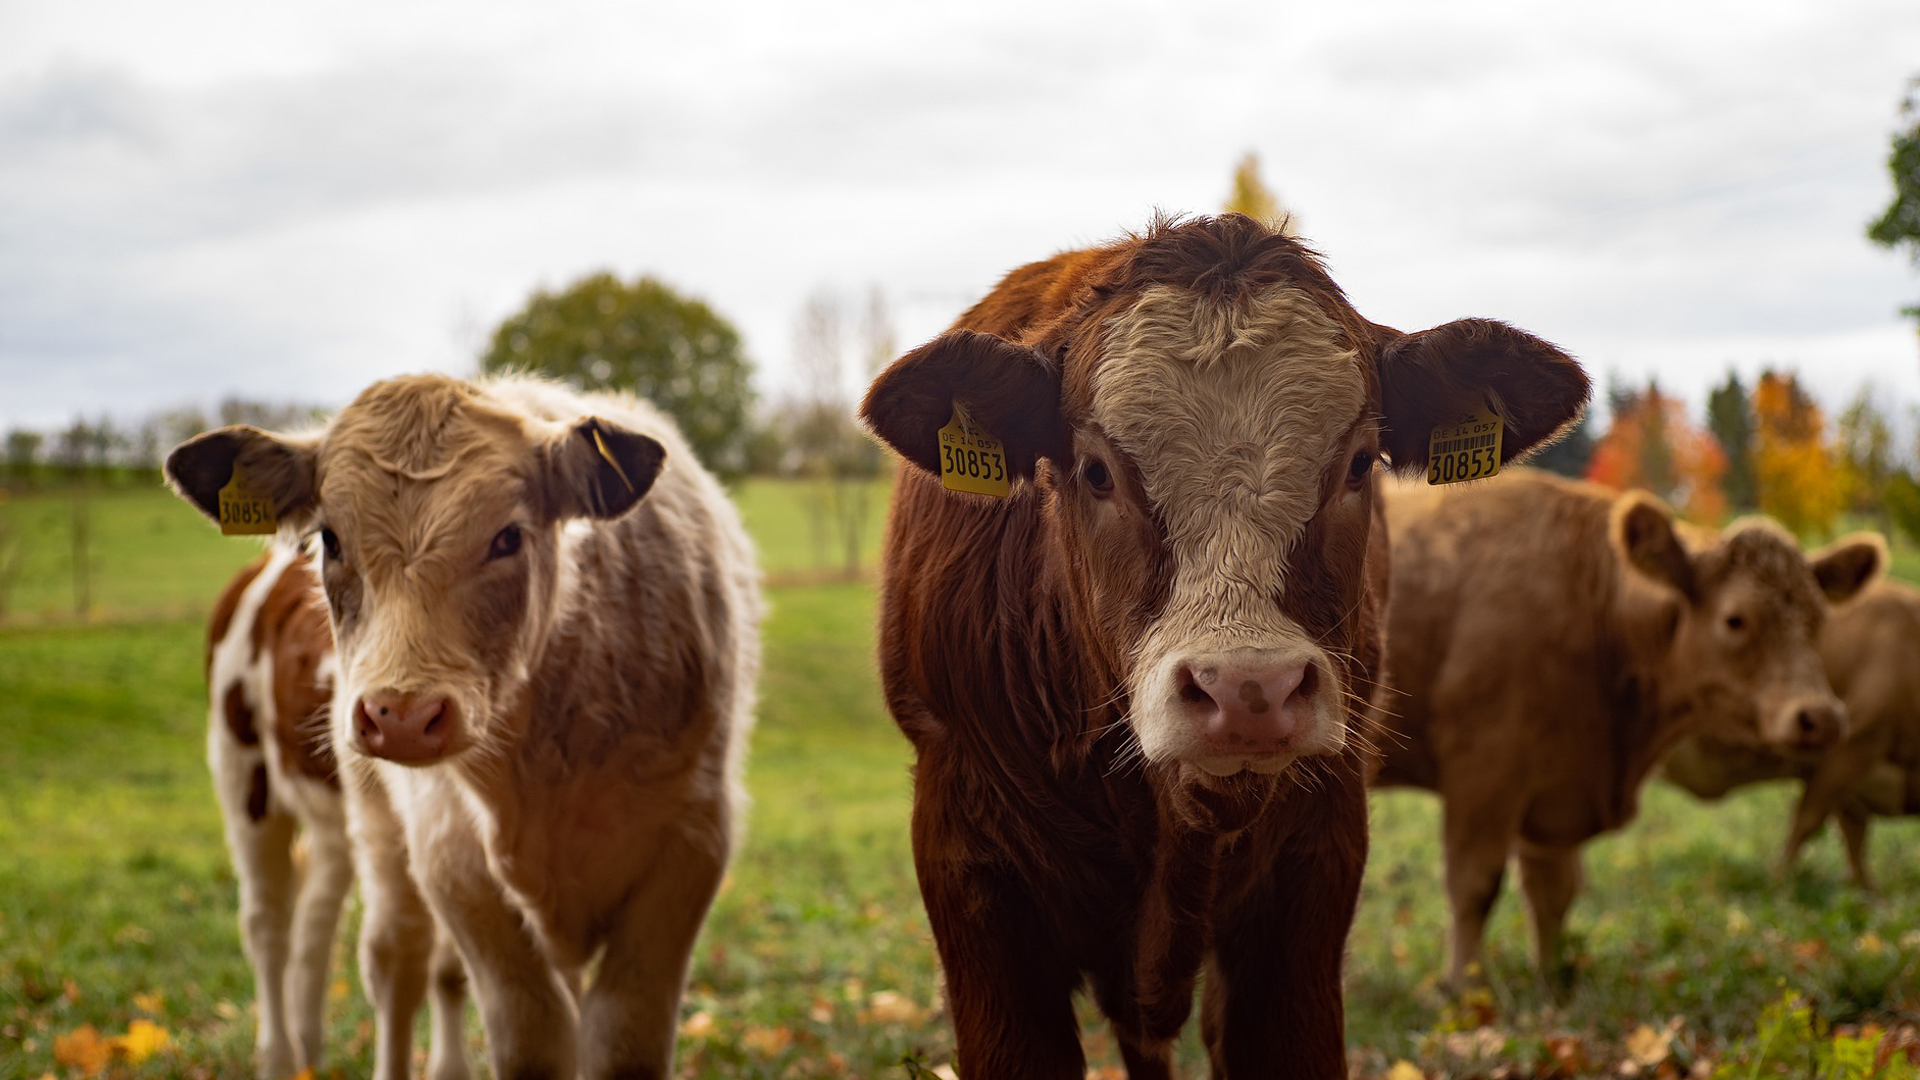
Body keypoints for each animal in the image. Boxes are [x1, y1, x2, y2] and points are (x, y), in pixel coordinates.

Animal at [204, 549, 470, 1068]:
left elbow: (452, 967)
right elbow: (400, 956)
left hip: (333, 822)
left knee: (316, 913)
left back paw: (307, 1046)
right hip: (244, 771)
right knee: (267, 921)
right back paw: (279, 1056)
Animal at [1374, 470, 1881, 983]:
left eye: (1819, 620)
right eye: (1735, 619)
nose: (1822, 716)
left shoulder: (1555, 793)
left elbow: (1553, 894)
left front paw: (1551, 979)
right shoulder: (1482, 772)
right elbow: (1474, 886)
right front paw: (1463, 987)